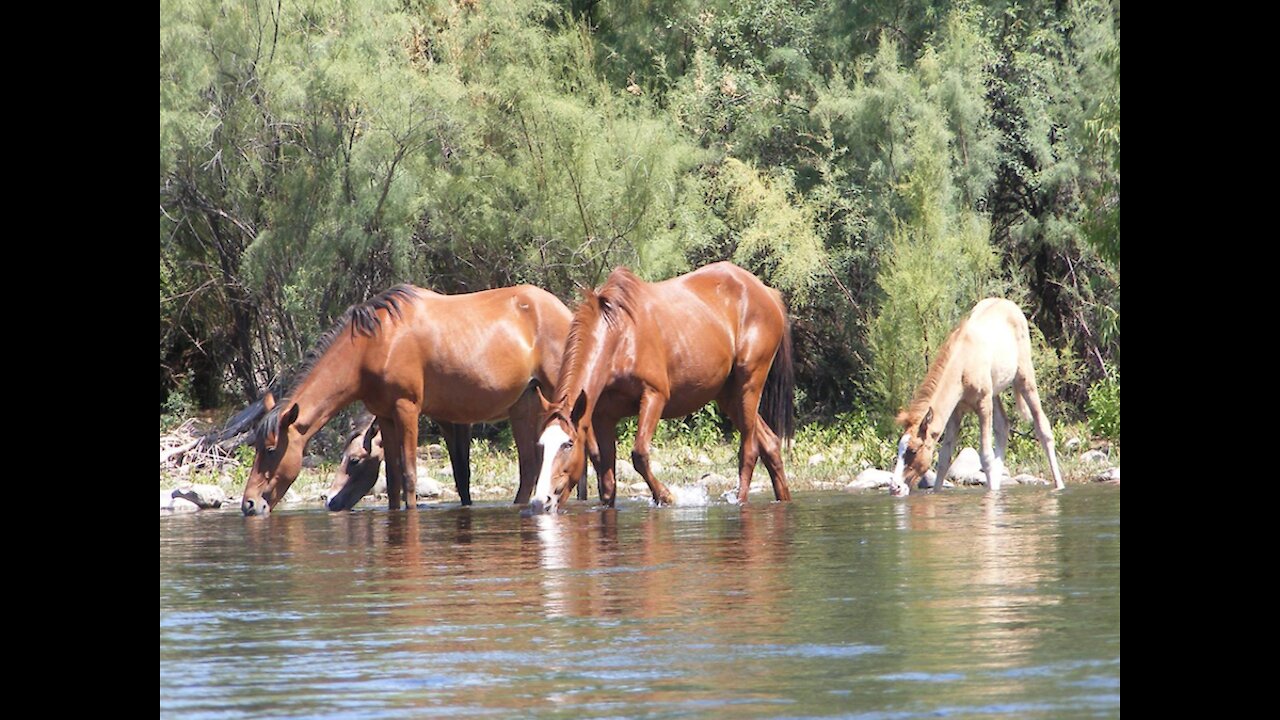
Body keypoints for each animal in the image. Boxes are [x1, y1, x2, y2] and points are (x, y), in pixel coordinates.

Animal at [236, 283, 576, 512]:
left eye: (270, 450)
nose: (249, 504)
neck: (374, 346)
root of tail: (565, 311)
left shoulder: (408, 409)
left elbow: (410, 474)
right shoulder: (387, 416)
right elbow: (394, 479)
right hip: (525, 405)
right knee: (530, 465)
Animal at [527, 260, 788, 507]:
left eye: (568, 444)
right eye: (541, 445)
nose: (541, 500)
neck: (618, 336)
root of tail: (767, 292)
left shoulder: (654, 395)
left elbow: (639, 454)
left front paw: (666, 496)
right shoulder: (603, 415)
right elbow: (607, 481)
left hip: (750, 383)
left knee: (749, 450)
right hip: (728, 394)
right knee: (770, 444)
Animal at [885, 297, 1064, 491]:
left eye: (913, 450)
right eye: (899, 449)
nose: (895, 487)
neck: (962, 367)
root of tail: (1008, 303)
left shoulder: (983, 404)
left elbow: (985, 456)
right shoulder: (956, 411)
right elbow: (944, 457)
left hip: (1024, 377)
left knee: (1042, 427)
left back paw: (1059, 485)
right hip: (995, 392)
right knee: (1003, 426)